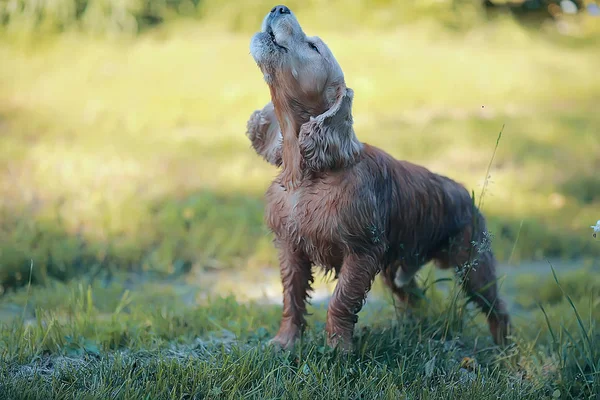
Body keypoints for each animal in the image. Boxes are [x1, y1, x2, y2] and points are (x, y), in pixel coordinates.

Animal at [246, 5, 508, 350]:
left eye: (313, 47)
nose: (280, 7)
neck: (308, 176)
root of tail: (466, 194)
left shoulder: (361, 252)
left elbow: (341, 301)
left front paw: (338, 349)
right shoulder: (291, 249)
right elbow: (292, 298)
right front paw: (285, 342)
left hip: (474, 267)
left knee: (497, 309)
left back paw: (506, 350)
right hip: (399, 272)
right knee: (417, 299)